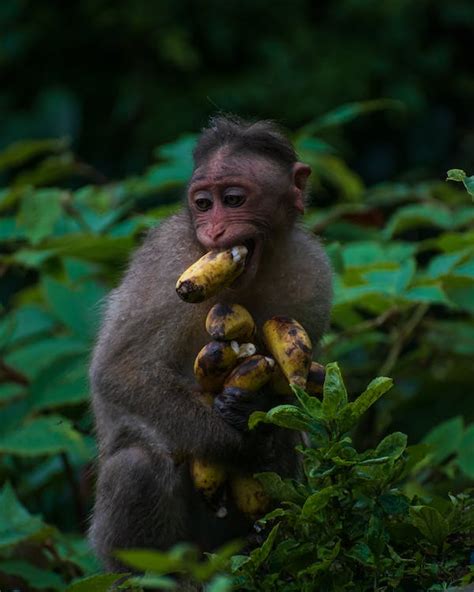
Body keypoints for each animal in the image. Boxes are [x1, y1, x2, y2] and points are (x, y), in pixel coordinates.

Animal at [90, 115, 334, 572]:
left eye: (234, 199)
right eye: (203, 205)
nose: (215, 229)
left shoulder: (313, 273)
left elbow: (296, 395)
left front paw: (253, 410)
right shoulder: (168, 262)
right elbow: (121, 372)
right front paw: (237, 440)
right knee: (138, 463)